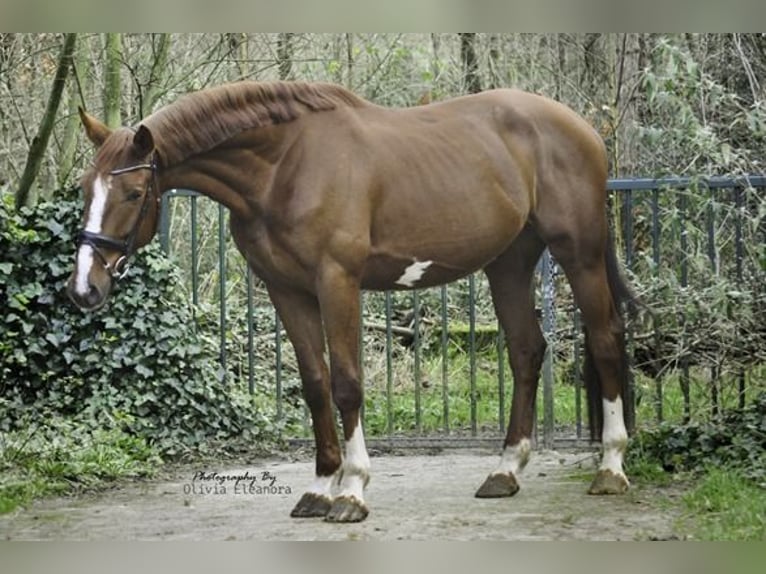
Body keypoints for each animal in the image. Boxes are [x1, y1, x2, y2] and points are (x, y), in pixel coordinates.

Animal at [69, 82, 636, 528]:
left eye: (133, 192)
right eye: (84, 189)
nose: (84, 288)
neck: (283, 167)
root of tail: (583, 128)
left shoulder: (337, 282)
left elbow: (346, 384)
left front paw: (352, 491)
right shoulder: (287, 290)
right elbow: (315, 384)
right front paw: (320, 487)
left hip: (579, 254)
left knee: (606, 340)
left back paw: (610, 467)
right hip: (509, 264)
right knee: (525, 351)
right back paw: (505, 470)